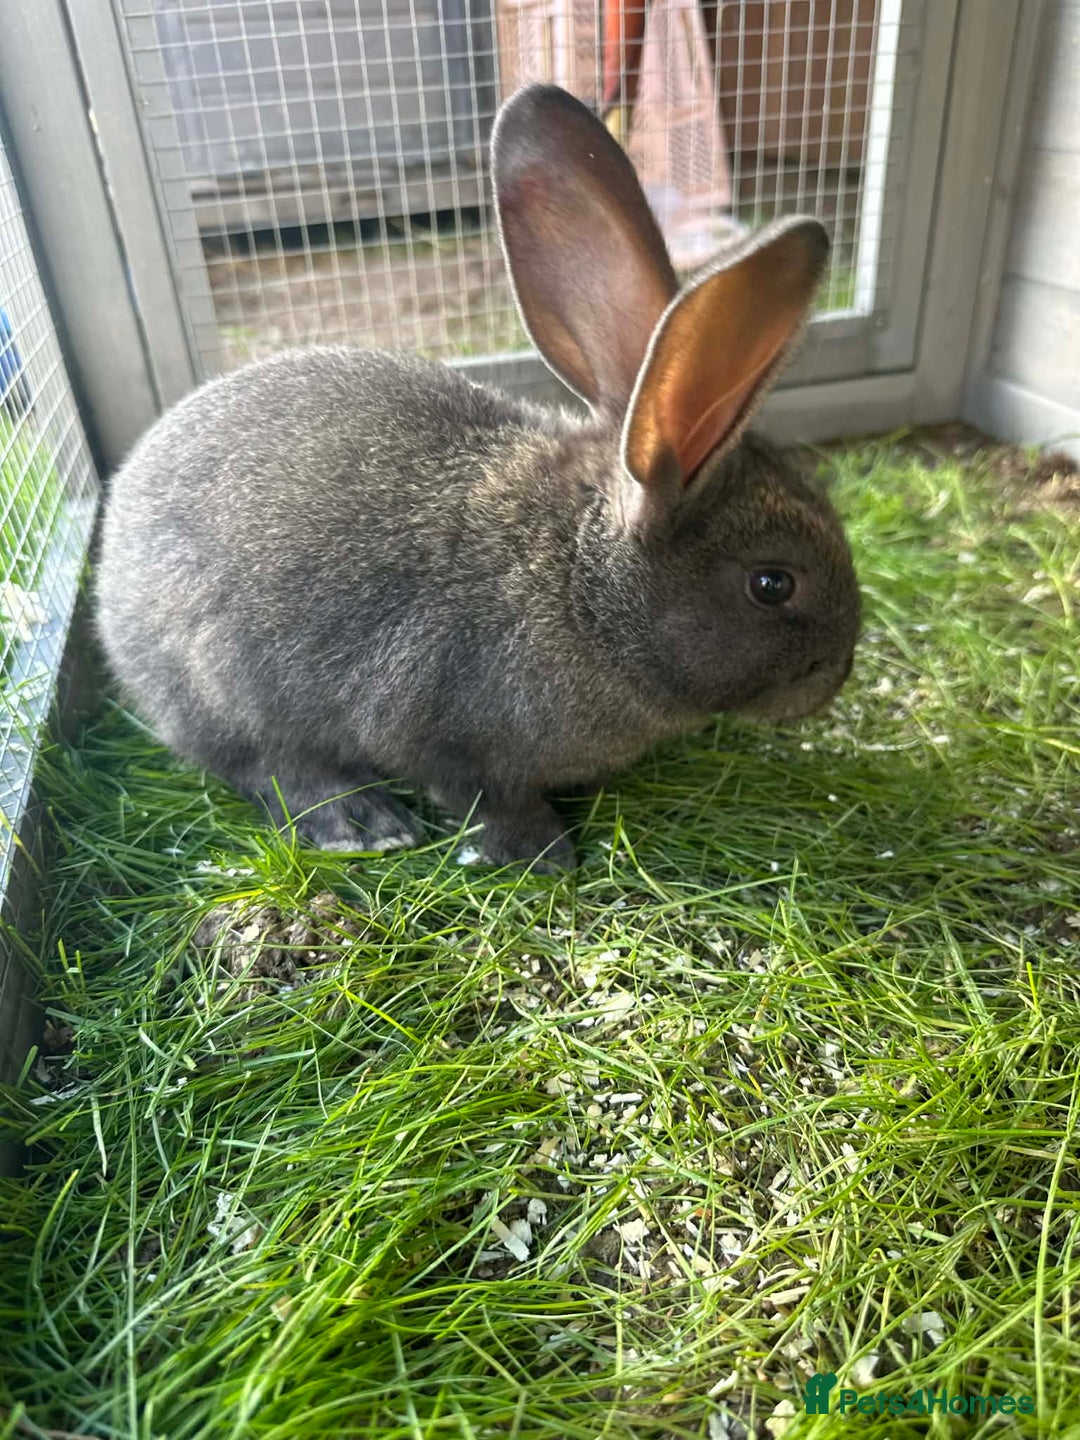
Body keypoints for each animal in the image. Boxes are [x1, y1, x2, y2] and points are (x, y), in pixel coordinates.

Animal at [96, 83, 860, 871]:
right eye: (773, 584)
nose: (837, 673)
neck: (583, 586)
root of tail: (111, 567)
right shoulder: (439, 725)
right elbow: (482, 793)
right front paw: (540, 853)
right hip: (222, 683)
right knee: (265, 766)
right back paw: (362, 822)